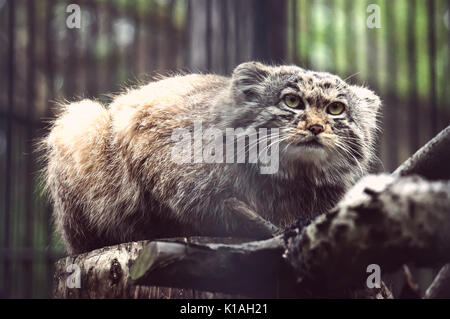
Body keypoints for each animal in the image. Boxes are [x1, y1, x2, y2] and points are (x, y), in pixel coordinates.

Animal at [41, 61, 380, 254]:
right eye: (292, 101)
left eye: (335, 108)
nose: (316, 127)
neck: (290, 179)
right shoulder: (153, 146)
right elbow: (223, 210)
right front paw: (277, 230)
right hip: (81, 120)